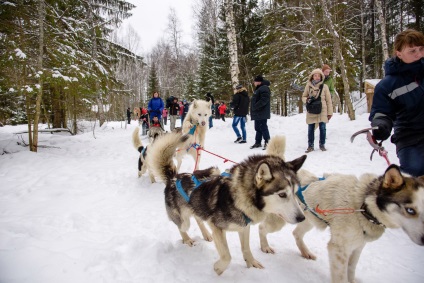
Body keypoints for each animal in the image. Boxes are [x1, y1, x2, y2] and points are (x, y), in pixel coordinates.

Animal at [149, 133, 308, 276]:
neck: (239, 197)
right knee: (182, 227)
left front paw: (251, 263)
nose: (302, 218)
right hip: (184, 221)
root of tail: (173, 178)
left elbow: (246, 249)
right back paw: (187, 239)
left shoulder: (244, 227)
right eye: (282, 194)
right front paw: (218, 269)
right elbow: (227, 256)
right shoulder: (217, 227)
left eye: (295, 192)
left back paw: (206, 234)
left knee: (199, 218)